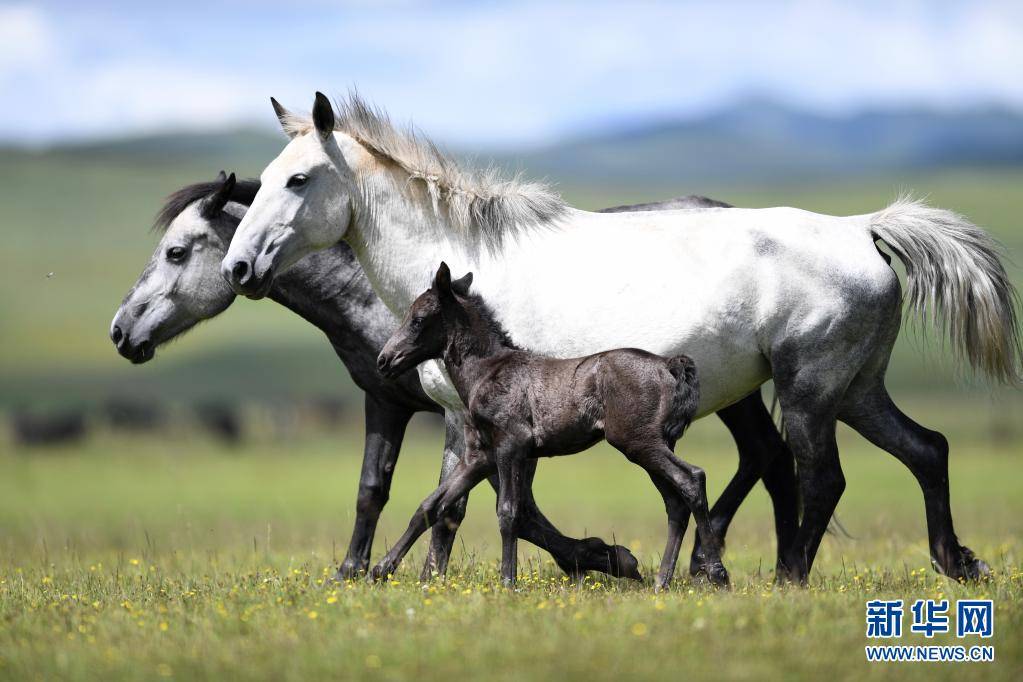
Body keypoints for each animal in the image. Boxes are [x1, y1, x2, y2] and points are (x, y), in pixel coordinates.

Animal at [376, 263, 728, 588]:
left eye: (418, 318)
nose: (384, 360)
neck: (487, 371)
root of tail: (668, 366)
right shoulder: (479, 457)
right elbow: (431, 504)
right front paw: (380, 570)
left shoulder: (511, 447)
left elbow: (508, 512)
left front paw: (508, 582)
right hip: (654, 445)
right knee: (675, 502)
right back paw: (661, 583)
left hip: (639, 442)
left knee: (692, 479)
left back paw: (718, 575)